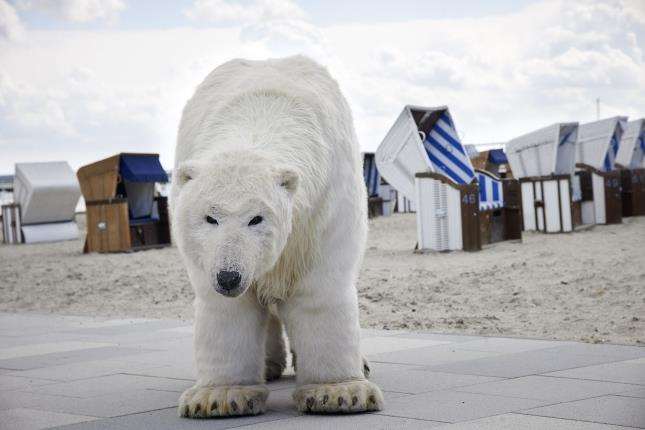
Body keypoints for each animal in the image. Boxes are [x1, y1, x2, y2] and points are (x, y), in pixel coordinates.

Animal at [170, 55, 382, 418]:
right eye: (210, 217)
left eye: (257, 218)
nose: (229, 277)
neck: (262, 109)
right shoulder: (204, 255)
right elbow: (228, 309)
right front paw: (220, 397)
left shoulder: (323, 207)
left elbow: (320, 290)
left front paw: (338, 392)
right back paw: (268, 365)